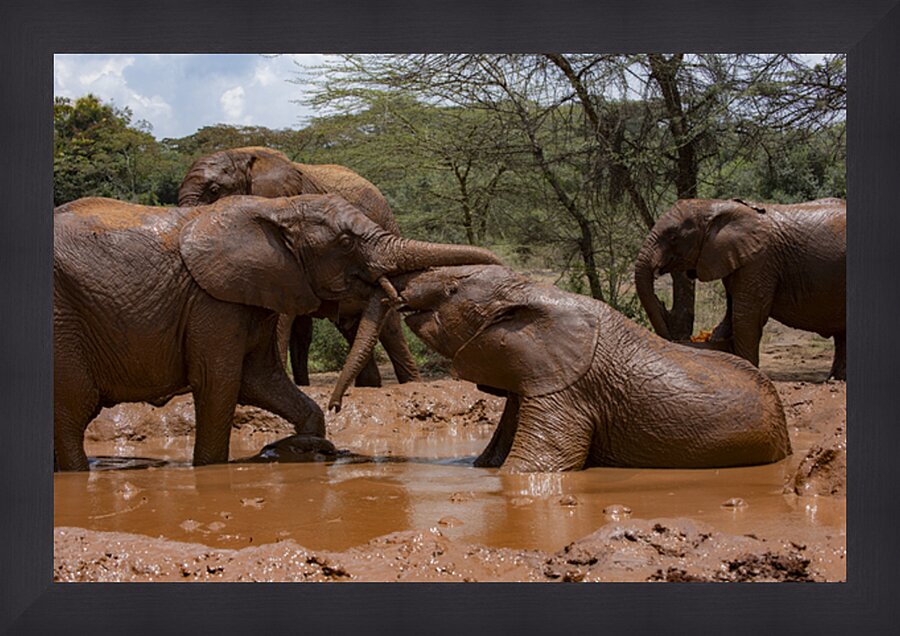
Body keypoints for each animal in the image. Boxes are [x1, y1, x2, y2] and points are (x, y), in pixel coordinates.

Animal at [53, 194, 501, 471]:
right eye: (345, 241)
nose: (338, 404)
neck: (276, 209)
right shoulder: (212, 301)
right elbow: (219, 385)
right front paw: (212, 470)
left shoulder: (260, 292)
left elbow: (261, 379)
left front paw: (305, 445)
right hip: (63, 321)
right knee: (72, 413)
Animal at [327, 264, 791, 472]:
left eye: (453, 289)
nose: (334, 408)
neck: (531, 291)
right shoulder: (530, 379)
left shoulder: (567, 391)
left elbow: (533, 468)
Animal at [634, 198, 846, 380]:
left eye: (673, 237)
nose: (661, 303)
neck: (716, 207)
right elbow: (729, 318)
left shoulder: (759, 261)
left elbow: (745, 317)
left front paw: (750, 370)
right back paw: (836, 379)